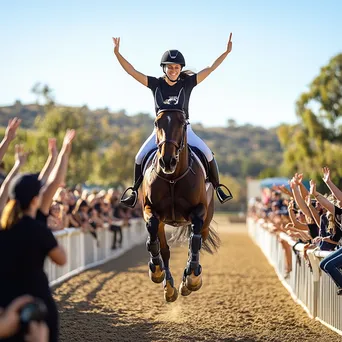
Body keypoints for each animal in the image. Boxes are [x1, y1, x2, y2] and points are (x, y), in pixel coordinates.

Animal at [141, 109, 219, 302]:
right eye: (157, 123)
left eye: (182, 123)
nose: (167, 161)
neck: (172, 177)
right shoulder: (149, 209)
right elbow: (153, 232)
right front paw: (156, 270)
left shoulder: (198, 212)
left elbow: (194, 242)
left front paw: (192, 278)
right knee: (165, 249)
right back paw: (168, 286)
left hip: (206, 222)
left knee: (196, 242)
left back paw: (189, 279)